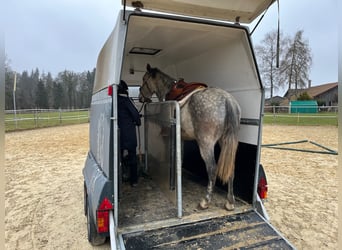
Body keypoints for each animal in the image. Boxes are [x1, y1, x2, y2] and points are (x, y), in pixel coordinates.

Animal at [138, 63, 240, 210]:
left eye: (144, 79)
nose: (141, 97)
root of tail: (227, 100)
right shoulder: (181, 138)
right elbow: (180, 158)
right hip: (226, 143)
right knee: (230, 168)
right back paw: (230, 202)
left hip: (205, 144)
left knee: (212, 169)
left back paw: (205, 201)